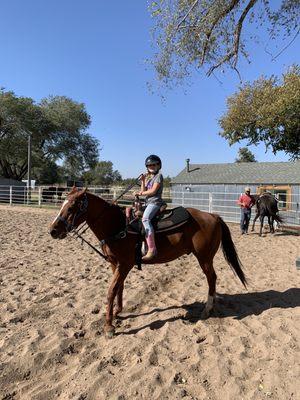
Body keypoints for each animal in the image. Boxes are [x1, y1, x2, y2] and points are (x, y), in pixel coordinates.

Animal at [48, 188, 246, 338]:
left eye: (71, 207)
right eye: (63, 204)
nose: (53, 230)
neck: (117, 225)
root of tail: (213, 216)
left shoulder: (125, 264)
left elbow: (111, 290)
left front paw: (109, 327)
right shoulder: (115, 263)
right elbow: (119, 287)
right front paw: (118, 311)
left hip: (204, 258)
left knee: (212, 278)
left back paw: (207, 309)